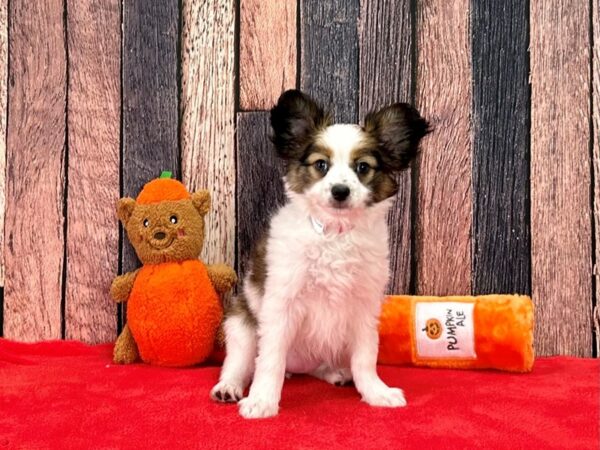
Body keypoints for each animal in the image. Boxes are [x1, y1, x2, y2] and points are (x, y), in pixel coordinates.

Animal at [211, 90, 432, 418]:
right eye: (321, 165)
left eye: (362, 168)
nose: (340, 191)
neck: (334, 234)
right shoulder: (282, 304)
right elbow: (269, 361)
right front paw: (262, 400)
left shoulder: (364, 309)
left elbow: (365, 357)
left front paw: (375, 392)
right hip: (241, 327)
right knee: (240, 362)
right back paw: (229, 387)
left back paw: (335, 373)